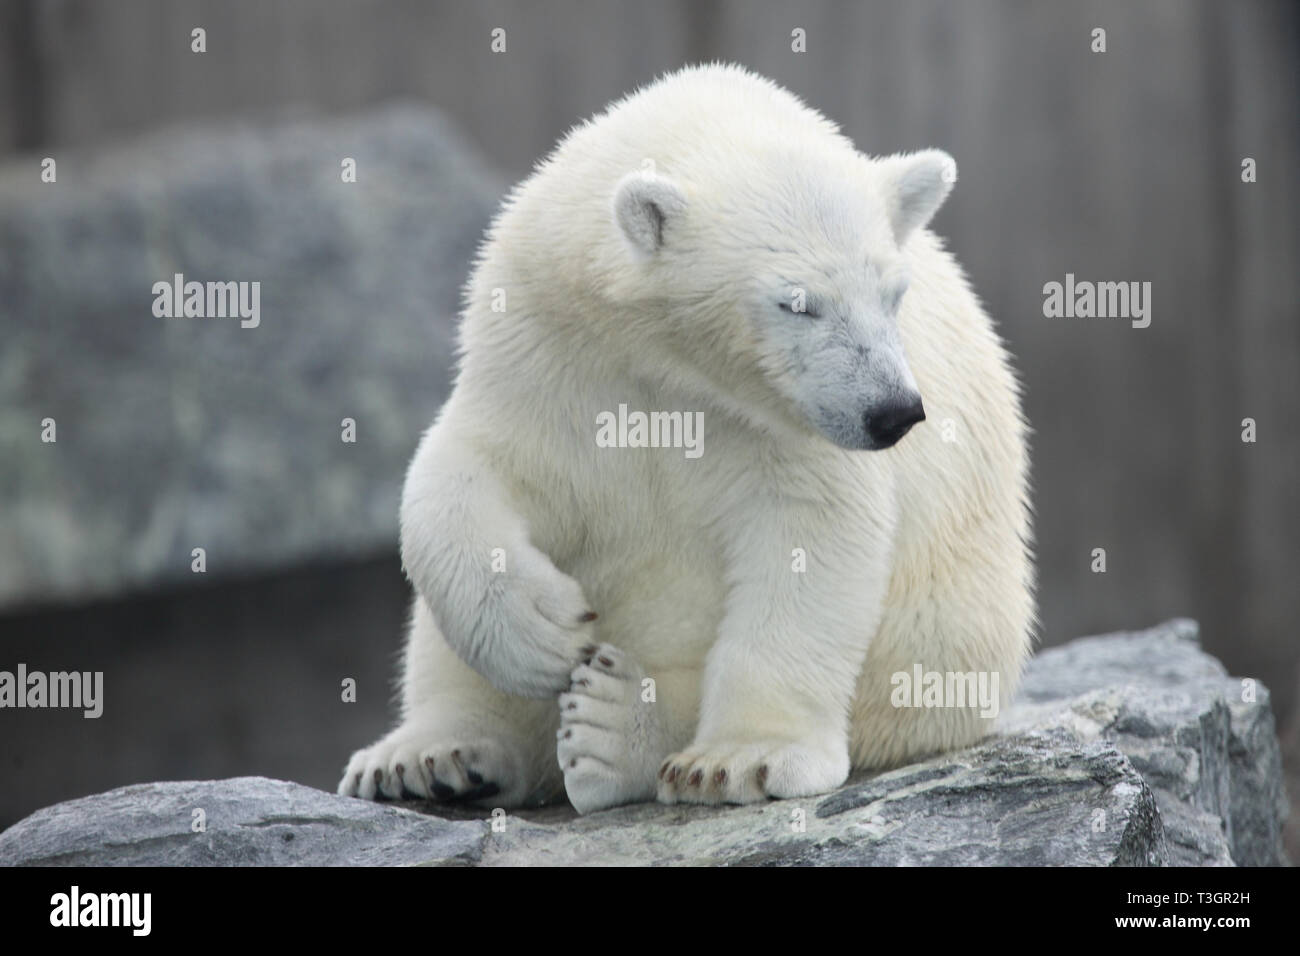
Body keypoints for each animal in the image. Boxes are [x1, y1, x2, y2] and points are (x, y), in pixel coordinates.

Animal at [338, 65, 1034, 816]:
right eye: (797, 302)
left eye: (894, 293)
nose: (893, 412)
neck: (670, 362)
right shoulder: (545, 351)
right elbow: (471, 468)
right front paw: (545, 633)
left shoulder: (782, 428)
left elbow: (810, 538)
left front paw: (739, 759)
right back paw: (430, 754)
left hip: (956, 609)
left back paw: (614, 725)